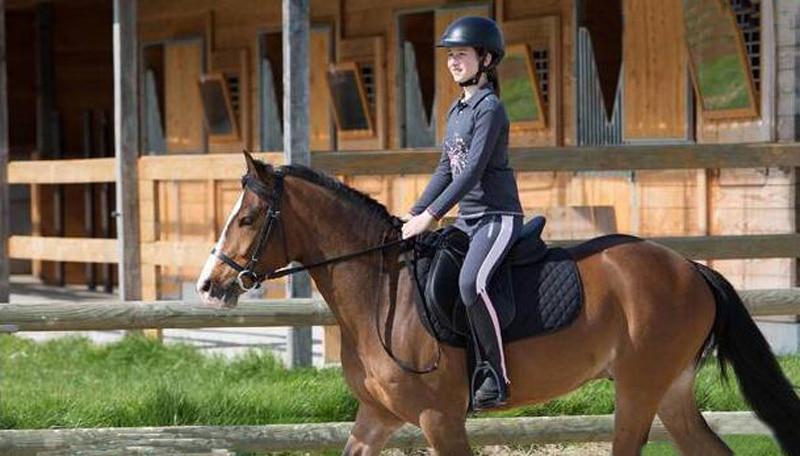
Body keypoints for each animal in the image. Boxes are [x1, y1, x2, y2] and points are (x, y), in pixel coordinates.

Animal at [196, 152, 800, 456]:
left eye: (246, 218)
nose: (208, 285)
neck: (379, 292)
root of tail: (692, 268)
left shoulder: (439, 419)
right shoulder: (376, 417)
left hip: (638, 390)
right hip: (670, 392)